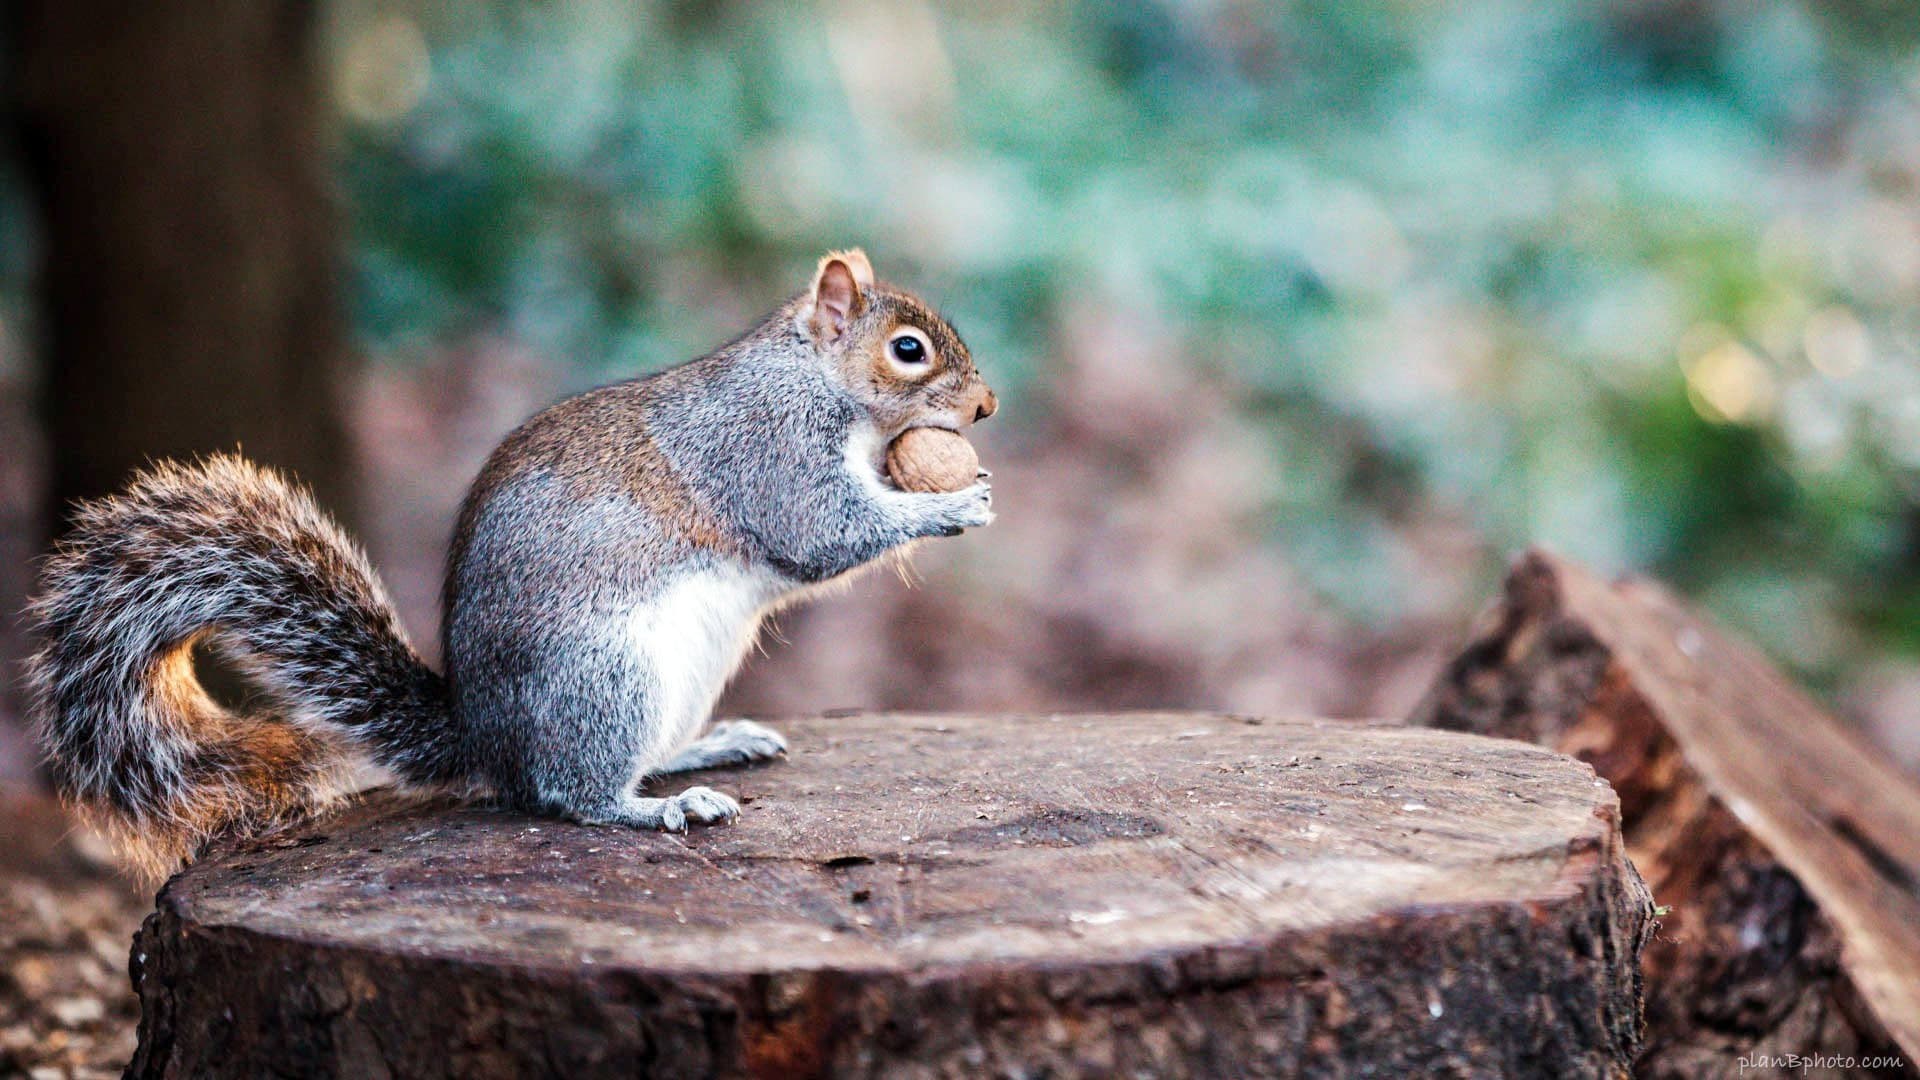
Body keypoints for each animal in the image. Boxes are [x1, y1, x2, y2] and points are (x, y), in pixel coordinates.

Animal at [24, 249, 997, 881]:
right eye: (908, 350)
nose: (986, 406)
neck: (815, 381)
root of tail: (484, 737)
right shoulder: (768, 453)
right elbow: (824, 531)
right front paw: (950, 505)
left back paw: (712, 748)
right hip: (603, 678)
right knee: (568, 794)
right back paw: (659, 806)